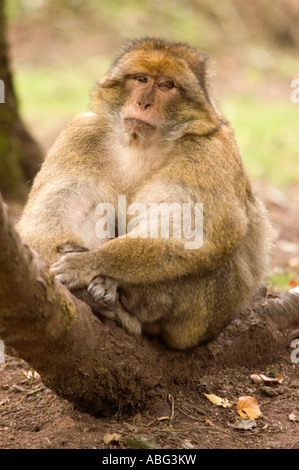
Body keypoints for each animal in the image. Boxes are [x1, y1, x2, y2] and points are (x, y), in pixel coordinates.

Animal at [17, 38, 274, 348]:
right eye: (140, 79)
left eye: (166, 85)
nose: (143, 103)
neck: (141, 143)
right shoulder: (81, 134)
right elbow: (41, 223)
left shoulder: (208, 152)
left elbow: (195, 233)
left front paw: (90, 262)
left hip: (199, 322)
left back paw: (116, 302)